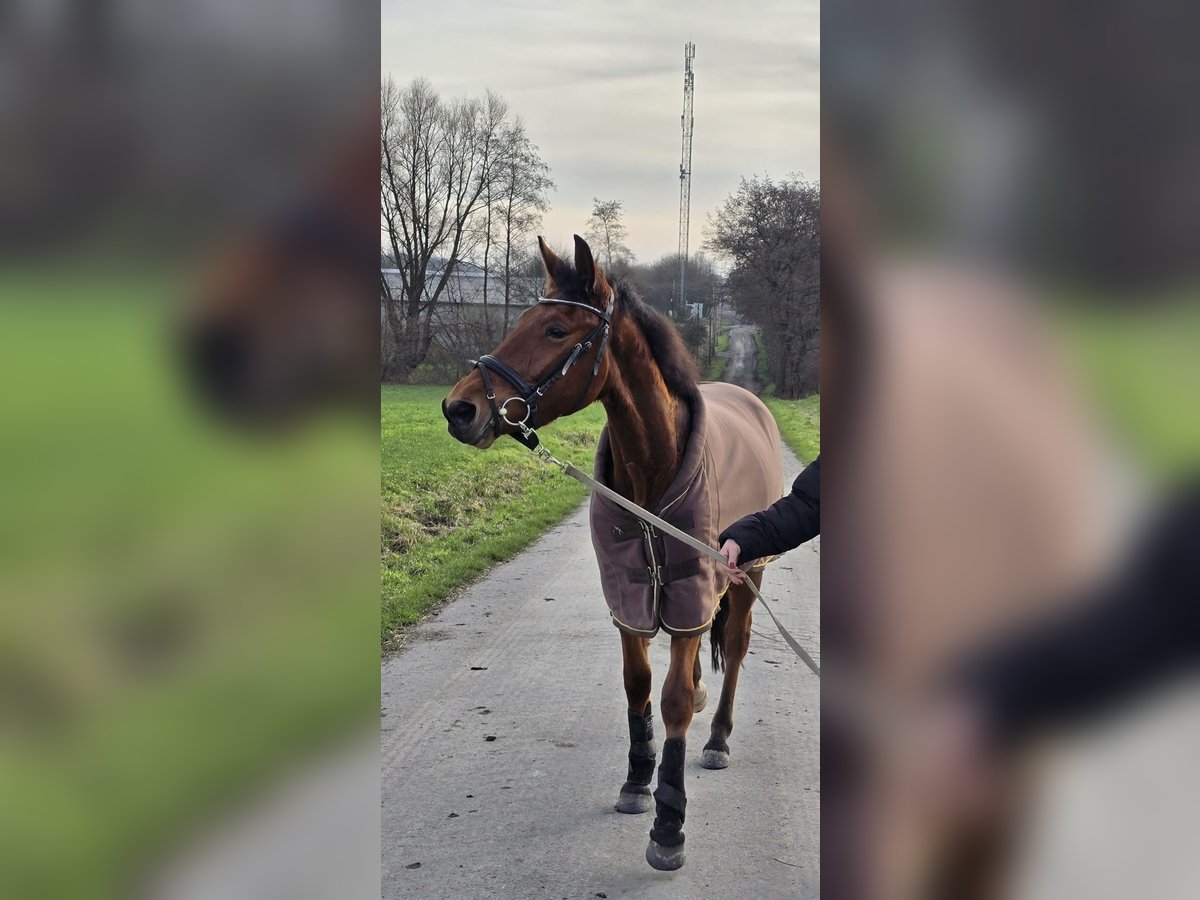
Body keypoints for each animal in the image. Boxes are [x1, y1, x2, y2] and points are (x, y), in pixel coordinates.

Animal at [442, 234, 786, 871]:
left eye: (556, 329)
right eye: (520, 319)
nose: (460, 409)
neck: (655, 469)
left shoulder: (690, 592)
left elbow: (673, 700)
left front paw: (669, 823)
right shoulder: (631, 596)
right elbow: (639, 686)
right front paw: (636, 779)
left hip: (746, 579)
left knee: (735, 649)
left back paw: (718, 737)